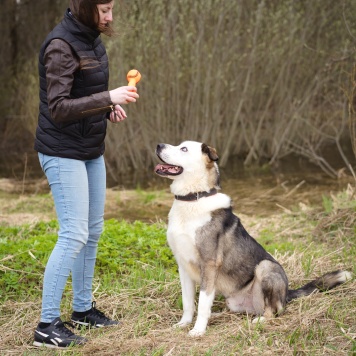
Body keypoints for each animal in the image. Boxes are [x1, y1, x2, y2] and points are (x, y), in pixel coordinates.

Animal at [154, 140, 352, 336]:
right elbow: (188, 301)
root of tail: (287, 294)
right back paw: (218, 315)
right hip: (234, 301)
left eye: (184, 149)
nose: (159, 145)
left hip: (266, 267)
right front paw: (184, 323)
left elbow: (203, 302)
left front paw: (198, 330)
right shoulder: (183, 265)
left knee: (275, 311)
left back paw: (260, 320)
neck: (194, 198)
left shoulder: (209, 264)